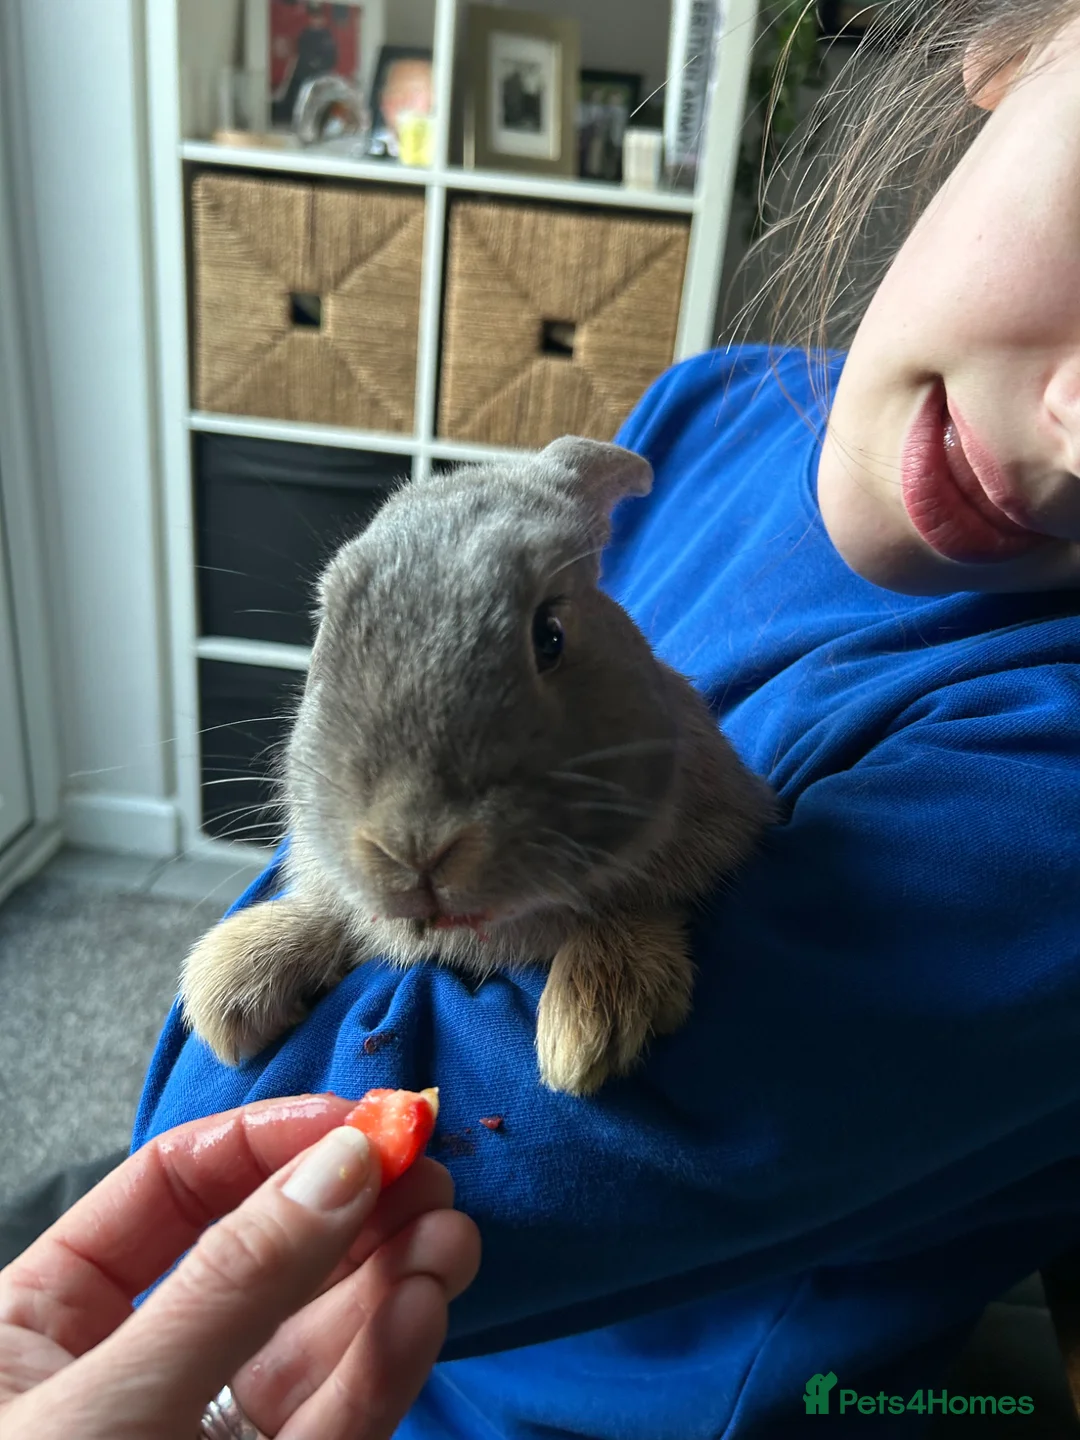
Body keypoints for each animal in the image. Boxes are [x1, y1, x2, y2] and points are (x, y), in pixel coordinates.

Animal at [180, 436, 776, 1096]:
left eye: (551, 635)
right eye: (328, 628)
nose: (411, 848)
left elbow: (640, 905)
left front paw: (589, 1031)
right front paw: (229, 986)